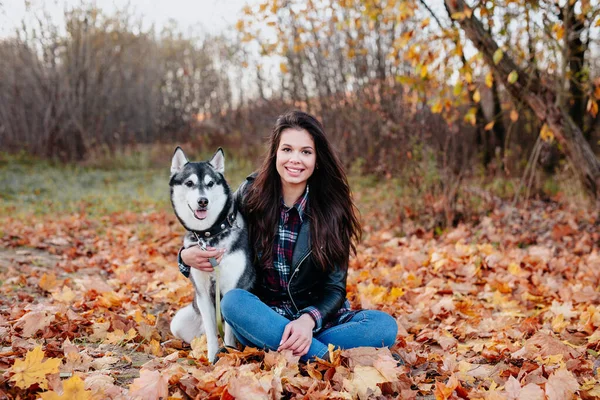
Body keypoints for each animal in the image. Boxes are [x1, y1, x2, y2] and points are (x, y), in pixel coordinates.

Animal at [169, 148, 255, 362]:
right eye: (189, 183)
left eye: (209, 183)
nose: (203, 201)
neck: (209, 235)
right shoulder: (203, 294)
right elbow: (210, 333)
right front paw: (210, 359)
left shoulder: (233, 287)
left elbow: (230, 334)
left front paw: (229, 355)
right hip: (179, 321)